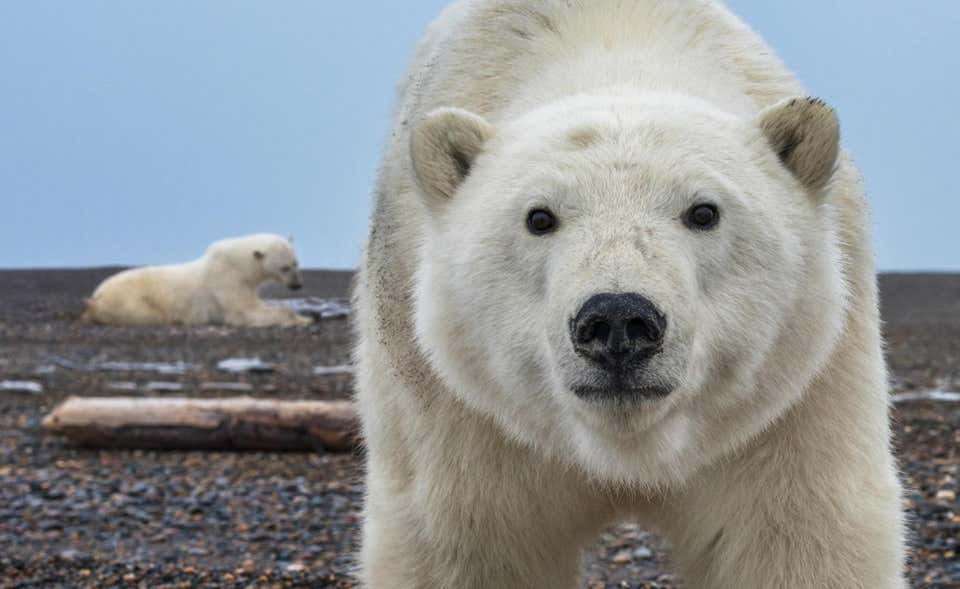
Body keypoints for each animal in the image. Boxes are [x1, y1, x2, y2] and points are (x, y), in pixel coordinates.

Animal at [82, 233, 312, 327]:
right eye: (284, 267)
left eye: (296, 263)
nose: (298, 284)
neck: (238, 263)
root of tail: (96, 296)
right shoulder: (226, 281)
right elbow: (243, 312)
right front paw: (296, 319)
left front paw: (306, 318)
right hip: (129, 301)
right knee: (145, 314)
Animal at [353, 1, 906, 588]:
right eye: (539, 217)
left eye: (704, 211)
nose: (618, 320)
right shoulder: (458, 414)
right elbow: (464, 546)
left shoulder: (795, 402)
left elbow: (803, 538)